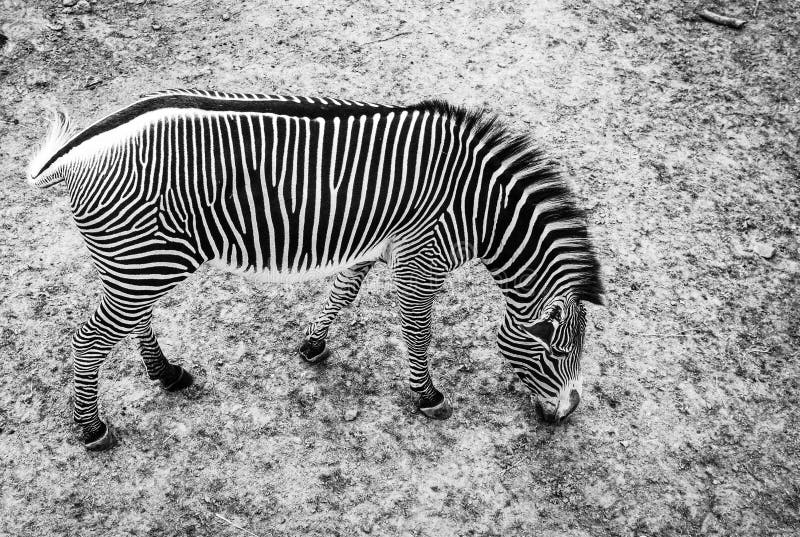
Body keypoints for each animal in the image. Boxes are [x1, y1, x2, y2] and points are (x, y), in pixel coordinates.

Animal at [27, 89, 604, 451]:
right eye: (557, 353)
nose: (570, 412)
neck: (480, 209)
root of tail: (71, 153)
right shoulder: (422, 258)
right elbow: (417, 328)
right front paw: (427, 395)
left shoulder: (377, 242)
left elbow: (344, 290)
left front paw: (313, 343)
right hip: (148, 261)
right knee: (88, 339)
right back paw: (91, 429)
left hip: (139, 261)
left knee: (131, 321)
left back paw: (166, 374)